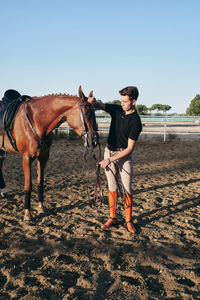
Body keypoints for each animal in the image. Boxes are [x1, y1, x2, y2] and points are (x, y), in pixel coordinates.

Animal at [0, 86, 99, 220]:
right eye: (87, 114)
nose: (94, 141)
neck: (36, 120)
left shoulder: (43, 157)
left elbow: (40, 182)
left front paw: (41, 208)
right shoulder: (27, 158)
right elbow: (28, 185)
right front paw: (27, 213)